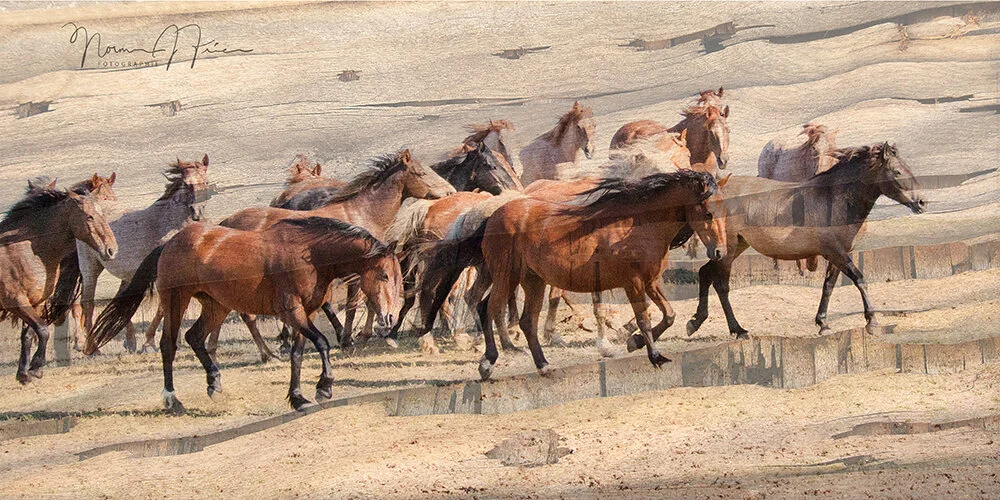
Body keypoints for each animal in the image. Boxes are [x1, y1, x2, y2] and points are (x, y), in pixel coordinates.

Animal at [1, 187, 118, 384]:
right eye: (89, 217)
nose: (111, 250)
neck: (22, 251)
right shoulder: (15, 301)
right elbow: (42, 330)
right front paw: (36, 368)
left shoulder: (36, 302)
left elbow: (28, 335)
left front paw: (24, 373)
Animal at [76, 156, 211, 355]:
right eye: (186, 184)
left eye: (206, 182)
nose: (197, 212)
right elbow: (163, 306)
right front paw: (149, 343)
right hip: (90, 268)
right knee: (87, 303)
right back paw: (93, 348)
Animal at [87, 217, 402, 413]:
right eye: (384, 275)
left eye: (399, 278)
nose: (389, 319)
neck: (309, 255)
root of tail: (170, 243)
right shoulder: (292, 311)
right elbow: (322, 343)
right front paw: (324, 389)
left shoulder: (306, 313)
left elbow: (298, 354)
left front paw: (298, 398)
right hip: (176, 299)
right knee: (169, 345)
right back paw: (172, 400)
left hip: (217, 305)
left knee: (195, 337)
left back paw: (214, 383)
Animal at [685, 143, 925, 341]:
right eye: (896, 171)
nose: (922, 202)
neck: (833, 199)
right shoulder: (836, 252)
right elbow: (859, 279)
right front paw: (872, 322)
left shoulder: (838, 254)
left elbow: (828, 286)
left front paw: (823, 324)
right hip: (729, 248)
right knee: (721, 285)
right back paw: (738, 330)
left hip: (732, 247)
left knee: (705, 273)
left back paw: (695, 322)